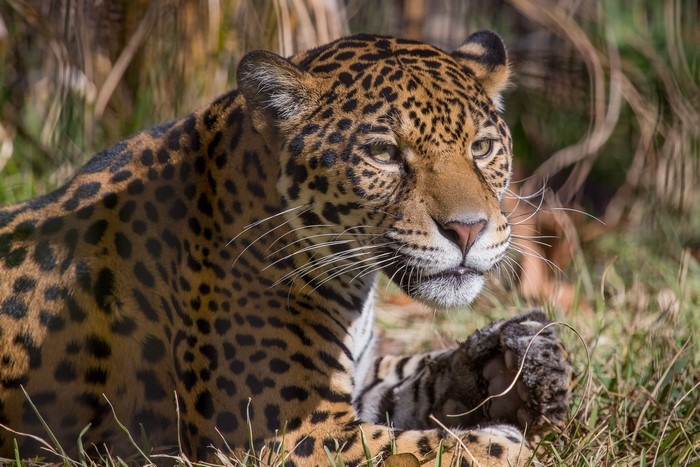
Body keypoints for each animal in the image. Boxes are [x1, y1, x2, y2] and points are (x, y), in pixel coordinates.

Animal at [0, 31, 573, 465]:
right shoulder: (291, 436)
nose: (468, 230)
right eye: (384, 153)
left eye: (482, 147)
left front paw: (510, 363)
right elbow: (431, 450)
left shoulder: (353, 388)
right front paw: (504, 441)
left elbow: (412, 377)